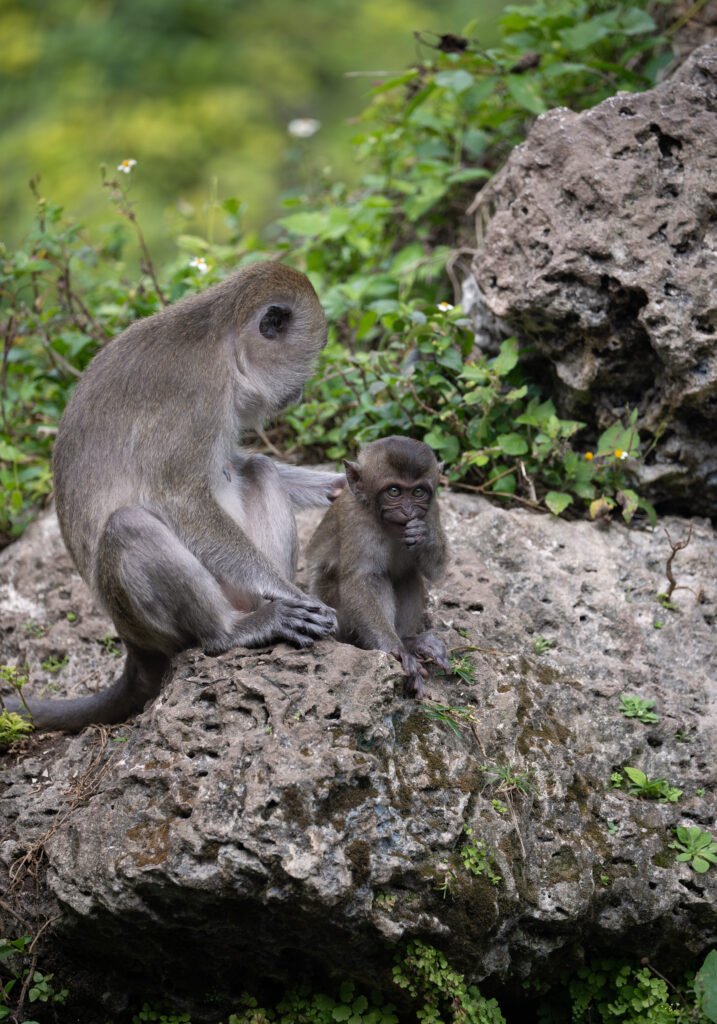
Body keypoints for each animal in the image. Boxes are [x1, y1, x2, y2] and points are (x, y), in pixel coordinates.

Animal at [4, 261, 345, 732]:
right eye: (311, 352)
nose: (300, 391)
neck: (223, 341)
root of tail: (133, 646)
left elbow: (239, 463)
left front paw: (342, 485)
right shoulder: (198, 397)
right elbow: (184, 501)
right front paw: (290, 593)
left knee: (259, 471)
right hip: (146, 622)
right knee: (130, 525)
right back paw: (234, 630)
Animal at [306, 436, 449, 698]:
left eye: (418, 492)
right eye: (394, 491)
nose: (408, 511)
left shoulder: (432, 510)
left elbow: (435, 571)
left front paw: (424, 537)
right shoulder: (356, 519)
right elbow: (362, 580)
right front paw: (394, 648)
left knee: (408, 576)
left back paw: (409, 640)